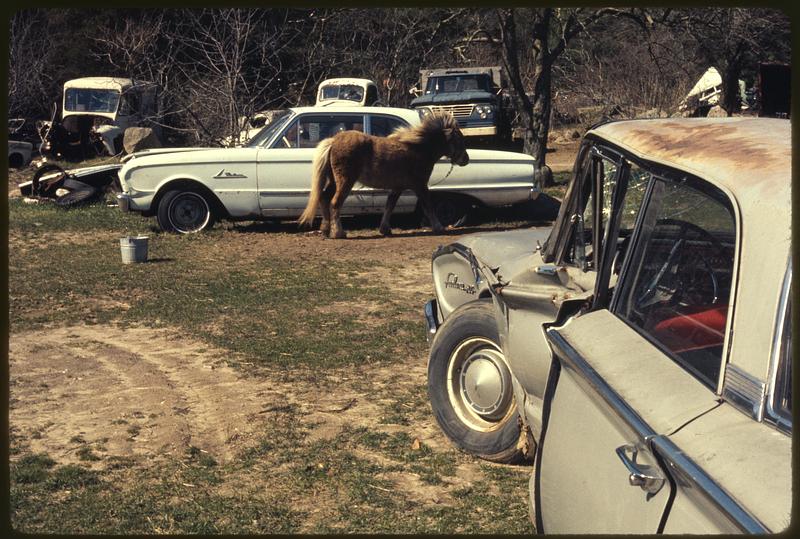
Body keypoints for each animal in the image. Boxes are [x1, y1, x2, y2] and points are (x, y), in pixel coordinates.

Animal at [296, 112, 466, 238]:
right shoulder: (420, 186)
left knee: (324, 198)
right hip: (345, 181)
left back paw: (325, 230)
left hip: (333, 181)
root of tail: (333, 140)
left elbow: (389, 206)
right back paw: (339, 233)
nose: (465, 159)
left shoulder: (398, 188)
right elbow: (428, 205)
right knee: (335, 202)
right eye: (458, 140)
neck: (418, 149)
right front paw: (439, 227)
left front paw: (385, 229)